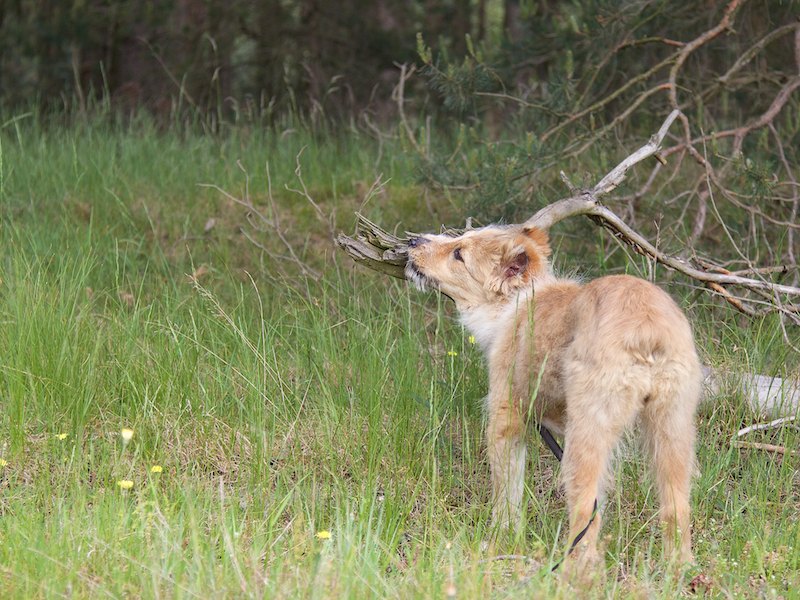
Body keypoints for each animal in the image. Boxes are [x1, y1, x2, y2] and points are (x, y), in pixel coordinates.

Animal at [406, 224, 701, 566]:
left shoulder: (506, 420)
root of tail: (646, 324)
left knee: (587, 514)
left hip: (587, 435)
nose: (412, 240)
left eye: (459, 254)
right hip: (672, 434)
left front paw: (501, 538)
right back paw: (678, 568)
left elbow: (507, 492)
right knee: (676, 509)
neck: (517, 302)